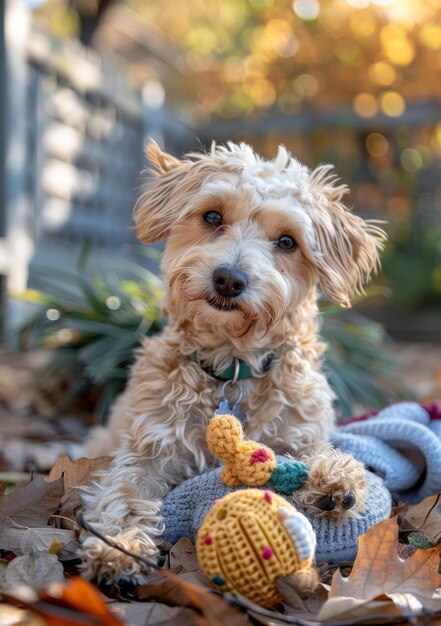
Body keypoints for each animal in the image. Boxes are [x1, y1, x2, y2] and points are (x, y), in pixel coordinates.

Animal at [81, 140, 384, 580]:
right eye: (212, 216)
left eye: (287, 242)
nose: (229, 278)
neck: (234, 364)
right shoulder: (151, 447)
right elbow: (123, 491)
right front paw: (118, 546)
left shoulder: (300, 429)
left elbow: (314, 452)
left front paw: (334, 477)